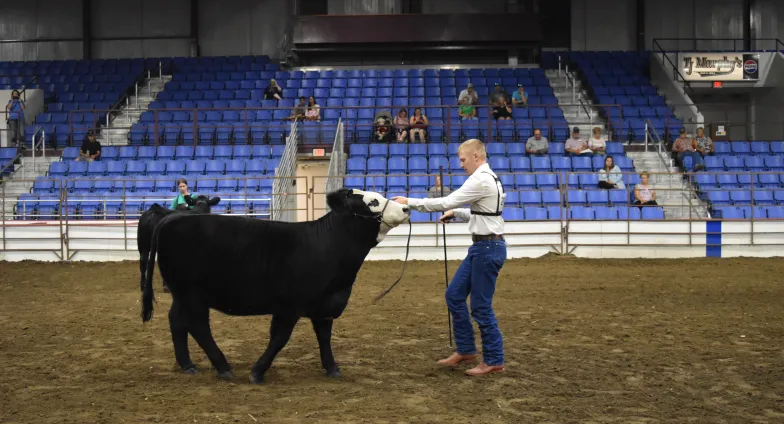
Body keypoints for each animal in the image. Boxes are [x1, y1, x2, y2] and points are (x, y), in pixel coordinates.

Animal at [141, 188, 410, 383]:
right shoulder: (289, 305)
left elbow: (324, 337)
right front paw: (257, 371)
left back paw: (187, 364)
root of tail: (171, 220)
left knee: (177, 320)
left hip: (182, 293)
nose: (406, 207)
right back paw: (223, 366)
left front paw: (332, 368)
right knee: (198, 326)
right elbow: (280, 338)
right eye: (372, 201)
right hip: (193, 293)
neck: (327, 243)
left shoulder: (324, 304)